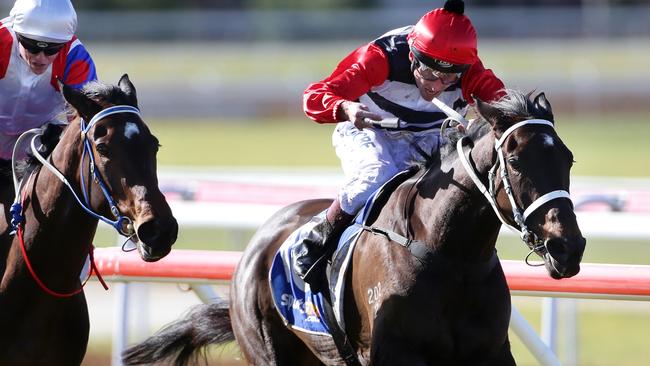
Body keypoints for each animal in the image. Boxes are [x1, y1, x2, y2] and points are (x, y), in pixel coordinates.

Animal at [121, 89, 584, 366]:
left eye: (568, 157)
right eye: (516, 160)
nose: (568, 247)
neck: (451, 256)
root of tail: (255, 247)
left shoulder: (489, 353)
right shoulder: (392, 355)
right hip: (268, 350)